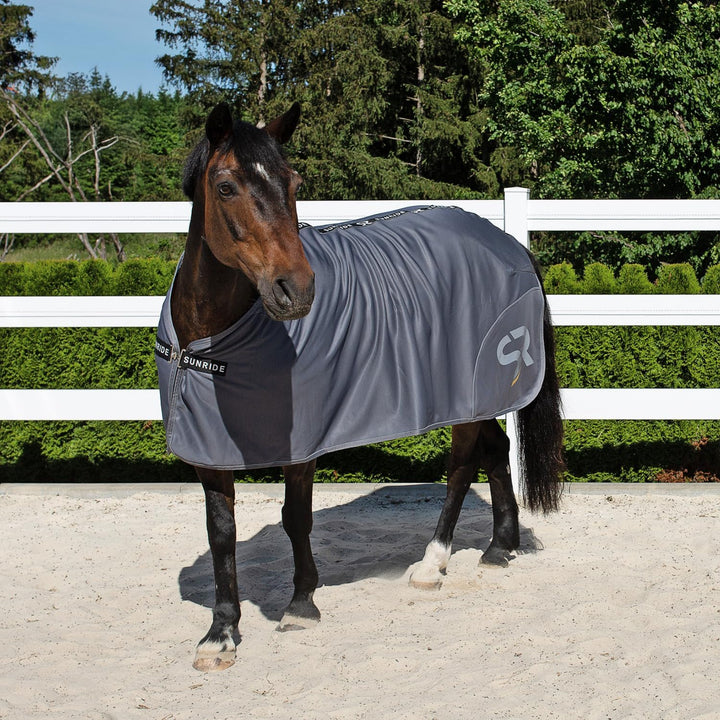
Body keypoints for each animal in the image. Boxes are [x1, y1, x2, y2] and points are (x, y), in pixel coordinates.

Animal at [155, 102, 564, 671]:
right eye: (226, 186)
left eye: (293, 181)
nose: (297, 289)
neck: (209, 345)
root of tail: (508, 244)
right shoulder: (209, 450)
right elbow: (222, 535)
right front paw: (221, 634)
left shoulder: (301, 443)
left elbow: (295, 518)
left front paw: (301, 605)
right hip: (478, 397)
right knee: (496, 449)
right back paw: (500, 547)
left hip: (466, 395)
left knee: (462, 467)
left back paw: (432, 563)